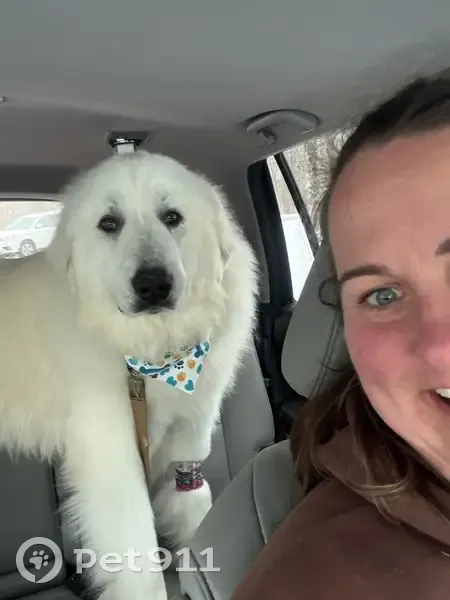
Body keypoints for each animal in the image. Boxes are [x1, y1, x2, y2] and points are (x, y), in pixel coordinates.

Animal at [0, 150, 259, 600]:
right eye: (109, 223)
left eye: (171, 217)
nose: (153, 284)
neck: (152, 352)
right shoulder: (113, 461)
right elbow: (138, 558)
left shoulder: (189, 441)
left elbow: (193, 506)